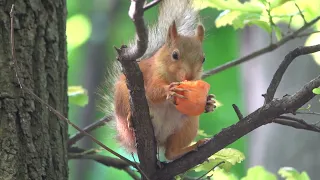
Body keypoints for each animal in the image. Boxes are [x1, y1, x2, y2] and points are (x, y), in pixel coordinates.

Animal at [107, 0, 215, 160]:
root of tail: (159, 140)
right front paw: (170, 90)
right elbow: (152, 91)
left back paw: (191, 147)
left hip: (188, 125)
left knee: (170, 153)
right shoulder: (153, 74)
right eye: (175, 55)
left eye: (203, 59)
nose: (190, 77)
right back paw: (131, 119)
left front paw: (208, 102)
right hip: (123, 101)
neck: (172, 76)